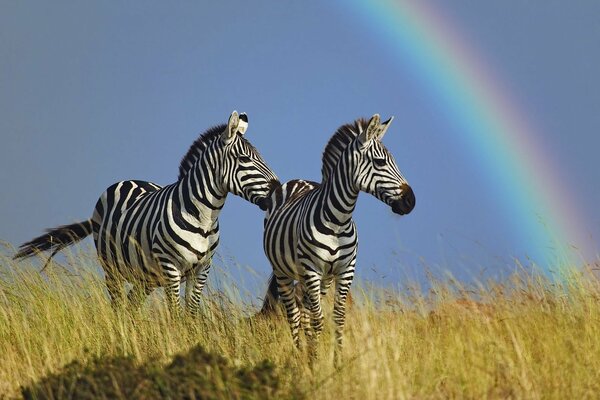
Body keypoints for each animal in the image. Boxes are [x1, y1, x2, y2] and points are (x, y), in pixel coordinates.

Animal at [11, 110, 278, 316]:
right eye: (244, 159)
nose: (277, 188)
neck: (204, 217)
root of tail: (130, 180)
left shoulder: (201, 270)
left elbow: (191, 315)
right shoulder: (171, 268)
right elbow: (175, 315)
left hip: (146, 276)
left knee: (131, 306)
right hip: (111, 267)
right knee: (118, 306)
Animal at [260, 113, 414, 362]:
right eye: (380, 162)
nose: (411, 201)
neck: (338, 221)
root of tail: (297, 180)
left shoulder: (345, 270)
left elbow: (337, 318)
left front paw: (337, 361)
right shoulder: (312, 269)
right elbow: (318, 319)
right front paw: (315, 362)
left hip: (320, 279)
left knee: (305, 313)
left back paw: (308, 353)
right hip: (284, 272)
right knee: (295, 315)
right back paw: (300, 355)